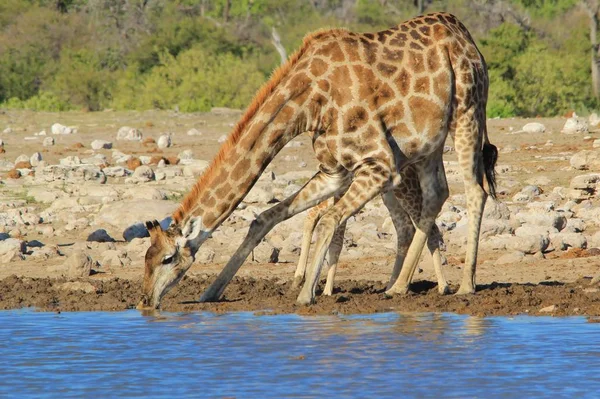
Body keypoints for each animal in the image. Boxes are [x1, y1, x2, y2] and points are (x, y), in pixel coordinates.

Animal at [290, 162, 450, 296]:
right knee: (407, 228)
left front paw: (326, 291)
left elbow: (335, 239)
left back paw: (441, 286)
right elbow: (319, 221)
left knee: (428, 227)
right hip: (390, 194)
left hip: (404, 190)